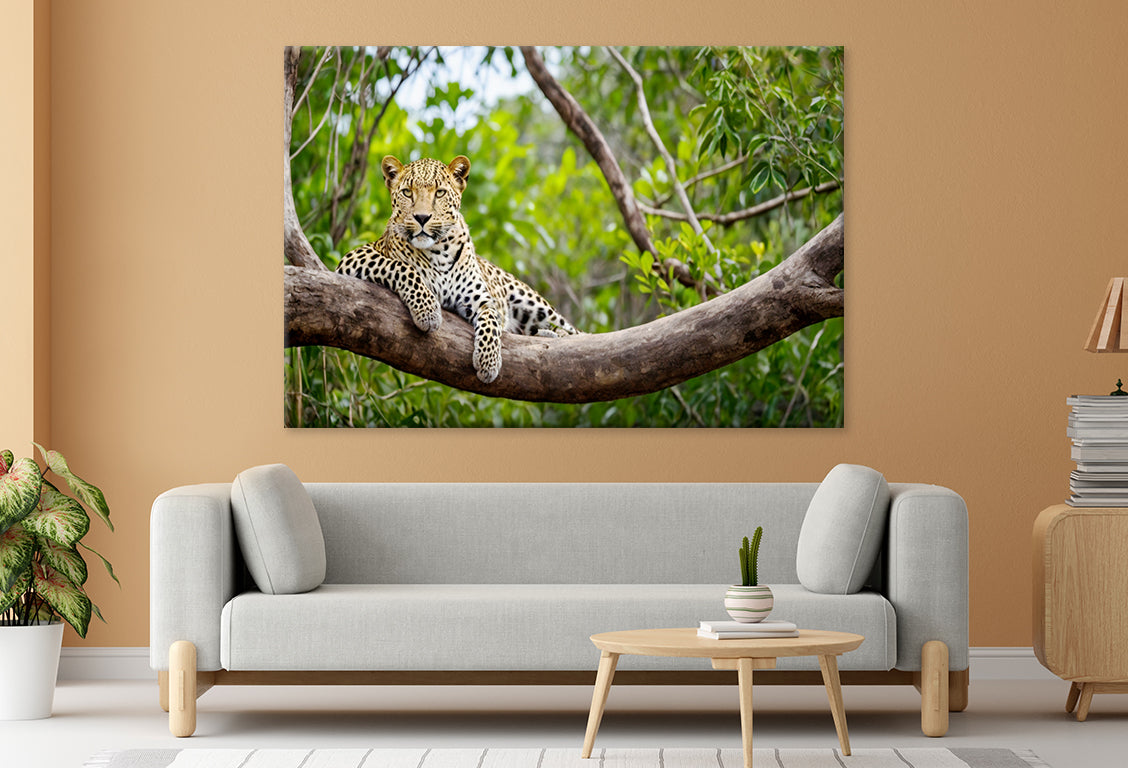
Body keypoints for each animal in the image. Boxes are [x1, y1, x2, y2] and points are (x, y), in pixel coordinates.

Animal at [335, 154, 578, 384]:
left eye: (440, 193)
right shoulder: (354, 257)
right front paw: (428, 311)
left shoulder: (481, 300)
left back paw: (556, 336)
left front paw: (488, 362)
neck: (439, 251)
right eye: (407, 192)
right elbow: (401, 267)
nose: (421, 217)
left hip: (534, 303)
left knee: (573, 331)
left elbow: (491, 319)